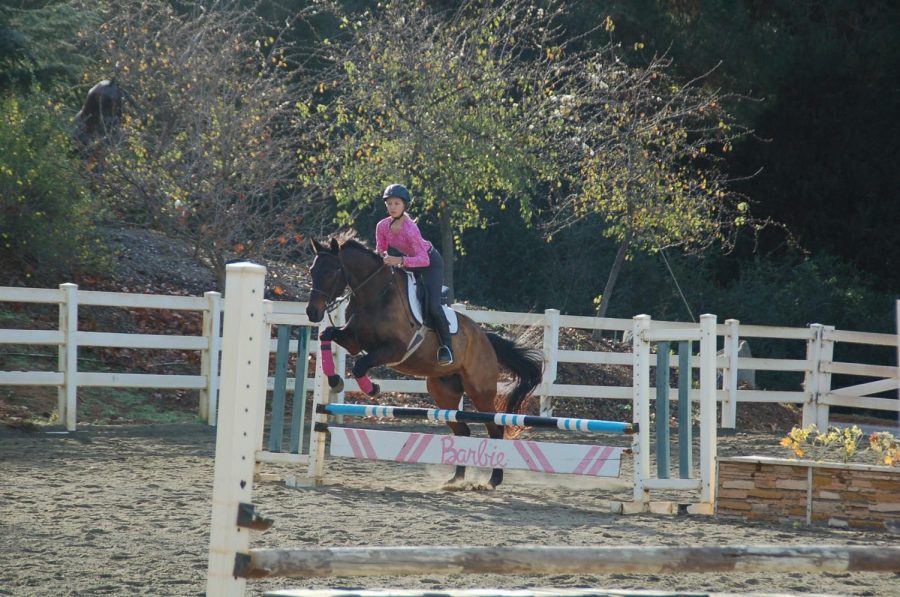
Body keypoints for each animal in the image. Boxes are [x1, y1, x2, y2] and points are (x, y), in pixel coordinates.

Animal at [306, 235, 540, 486]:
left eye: (332, 271)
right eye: (312, 270)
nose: (312, 313)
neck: (375, 295)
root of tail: (485, 337)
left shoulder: (395, 349)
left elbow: (360, 365)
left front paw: (372, 388)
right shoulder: (353, 342)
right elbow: (326, 335)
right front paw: (334, 380)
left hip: (480, 391)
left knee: (495, 428)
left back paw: (493, 480)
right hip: (444, 393)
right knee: (463, 431)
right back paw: (456, 479)